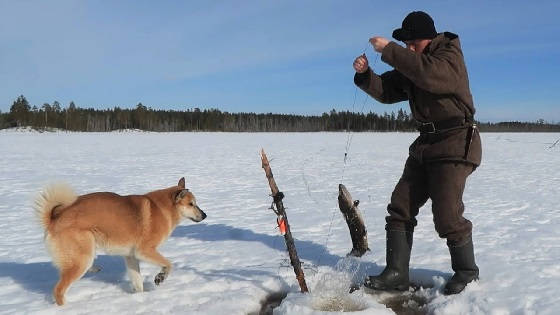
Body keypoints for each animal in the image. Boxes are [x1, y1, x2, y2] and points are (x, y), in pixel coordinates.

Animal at [34, 179, 207, 308]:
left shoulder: (131, 257)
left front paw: (141, 299)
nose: (205, 215)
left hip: (83, 254)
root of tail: (54, 218)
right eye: (191, 204)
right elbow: (169, 264)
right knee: (59, 290)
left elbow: (138, 283)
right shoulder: (144, 251)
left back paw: (94, 268)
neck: (163, 209)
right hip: (81, 257)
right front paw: (160, 277)